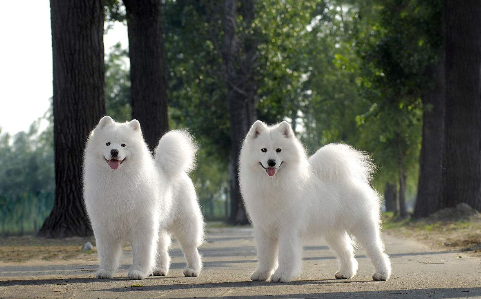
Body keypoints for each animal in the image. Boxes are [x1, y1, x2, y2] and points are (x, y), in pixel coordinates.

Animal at [84, 116, 202, 280]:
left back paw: (193, 270)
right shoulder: (105, 226)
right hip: (159, 226)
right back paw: (160, 269)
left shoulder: (142, 225)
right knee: (161, 249)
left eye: (123, 145)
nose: (114, 151)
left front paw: (138, 272)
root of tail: (169, 169)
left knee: (190, 248)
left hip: (184, 223)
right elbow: (107, 253)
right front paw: (105, 271)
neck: (117, 179)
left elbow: (142, 252)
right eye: (107, 143)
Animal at [238, 120, 392, 282]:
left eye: (279, 150)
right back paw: (345, 273)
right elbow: (265, 256)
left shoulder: (288, 229)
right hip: (333, 232)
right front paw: (261, 274)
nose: (271, 162)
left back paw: (382, 274)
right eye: (263, 150)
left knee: (376, 250)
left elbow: (286, 255)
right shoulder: (263, 229)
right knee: (346, 251)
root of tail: (351, 180)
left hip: (361, 226)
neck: (272, 183)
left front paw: (281, 275)